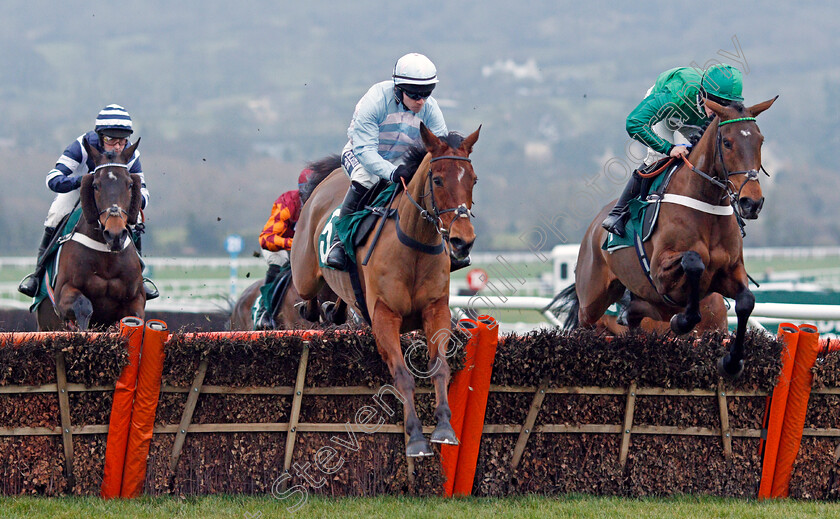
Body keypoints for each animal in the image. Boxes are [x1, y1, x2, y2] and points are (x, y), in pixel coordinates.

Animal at [36, 140, 146, 332]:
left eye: (130, 184)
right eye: (95, 185)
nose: (115, 235)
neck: (106, 256)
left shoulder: (135, 299)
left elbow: (134, 318)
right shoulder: (63, 293)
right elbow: (84, 306)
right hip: (45, 325)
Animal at [294, 124, 480, 458]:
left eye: (473, 179)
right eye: (437, 179)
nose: (463, 241)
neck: (414, 245)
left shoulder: (436, 311)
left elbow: (439, 367)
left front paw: (444, 428)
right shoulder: (385, 317)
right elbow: (403, 375)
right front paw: (416, 438)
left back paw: (334, 310)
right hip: (304, 274)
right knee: (308, 293)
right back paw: (315, 307)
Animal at [560, 96, 776, 378]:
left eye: (760, 140)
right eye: (727, 142)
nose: (752, 203)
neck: (706, 205)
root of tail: (593, 228)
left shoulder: (730, 271)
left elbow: (746, 302)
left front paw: (731, 361)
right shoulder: (661, 273)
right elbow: (693, 262)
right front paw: (683, 320)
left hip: (645, 300)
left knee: (634, 314)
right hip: (593, 300)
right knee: (584, 328)